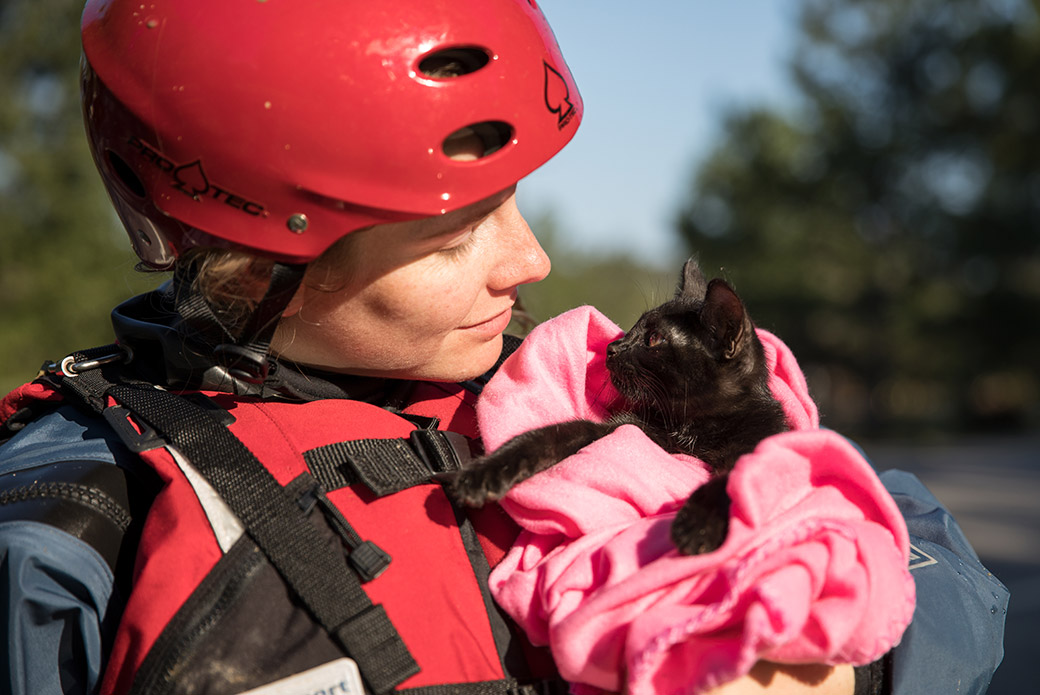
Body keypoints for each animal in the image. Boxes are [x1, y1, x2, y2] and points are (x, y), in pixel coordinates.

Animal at [440, 258, 786, 557]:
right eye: (636, 326)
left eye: (654, 339)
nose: (612, 347)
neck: (689, 425)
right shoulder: (624, 428)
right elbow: (553, 433)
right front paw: (487, 472)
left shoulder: (761, 441)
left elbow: (735, 476)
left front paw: (699, 524)